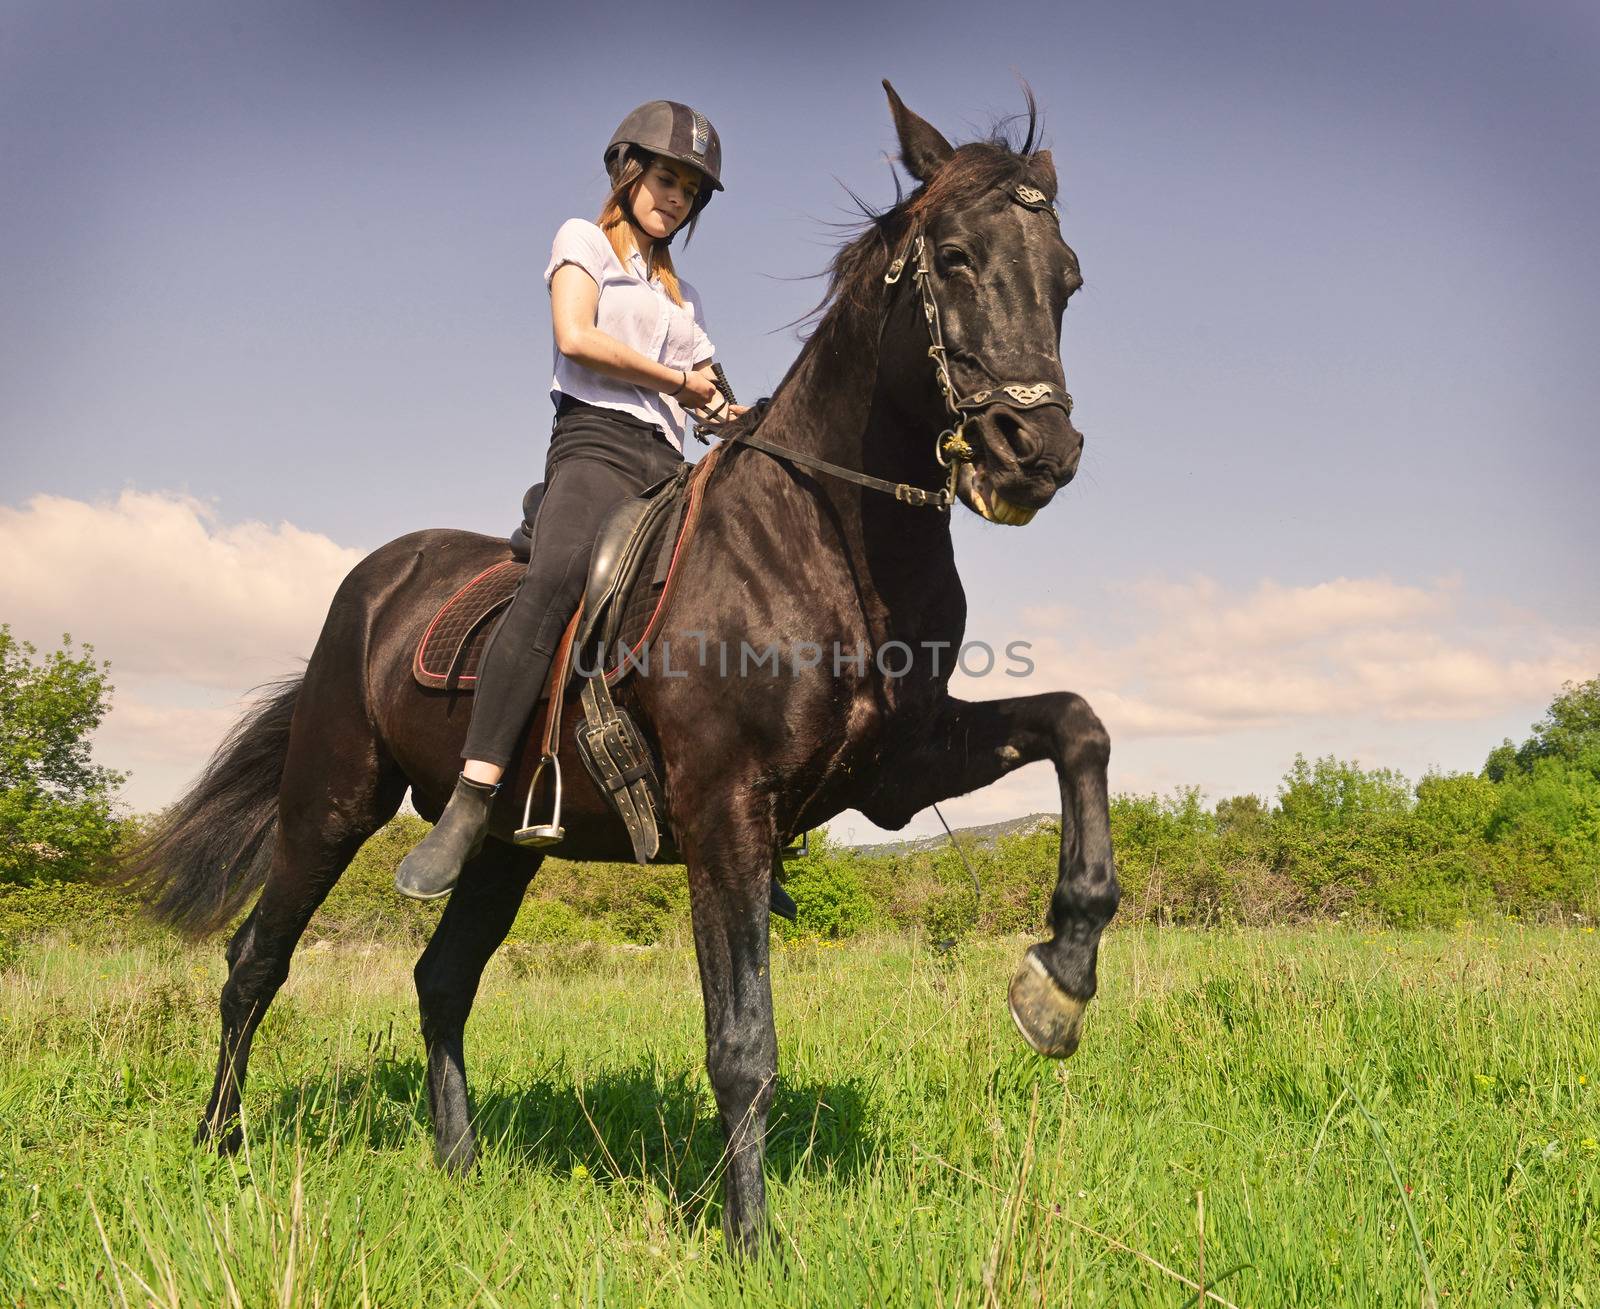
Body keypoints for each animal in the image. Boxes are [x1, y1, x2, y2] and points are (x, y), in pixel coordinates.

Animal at [124, 84, 1120, 1254]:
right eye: (956, 257)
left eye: (1068, 279)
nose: (1035, 455)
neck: (825, 535)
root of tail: (371, 583)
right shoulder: (725, 808)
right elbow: (742, 1044)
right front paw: (752, 1241)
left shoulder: (895, 768)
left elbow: (1078, 725)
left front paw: (1059, 977)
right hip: (330, 802)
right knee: (255, 963)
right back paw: (218, 1142)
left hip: (505, 848)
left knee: (440, 980)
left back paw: (457, 1163)